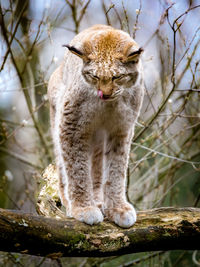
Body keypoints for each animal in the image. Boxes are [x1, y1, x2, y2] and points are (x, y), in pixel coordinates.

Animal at [48, 24, 145, 228]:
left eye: (117, 77)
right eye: (94, 76)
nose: (104, 94)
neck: (108, 105)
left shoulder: (122, 129)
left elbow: (116, 169)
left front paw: (117, 208)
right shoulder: (72, 125)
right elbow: (76, 168)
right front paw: (83, 208)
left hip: (98, 138)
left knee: (98, 168)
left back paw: (99, 201)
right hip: (58, 117)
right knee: (62, 164)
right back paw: (70, 202)